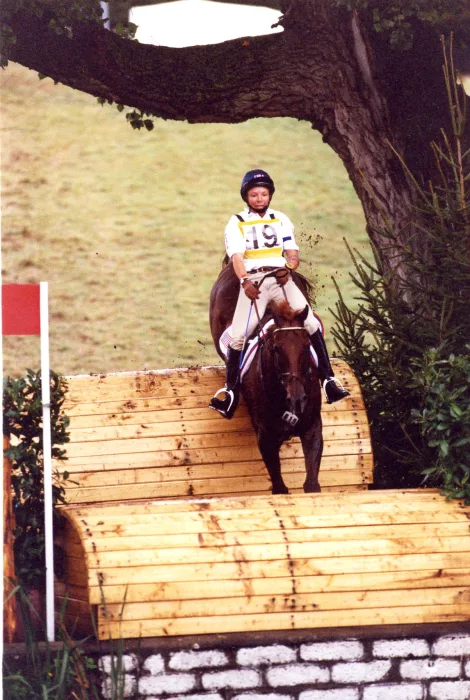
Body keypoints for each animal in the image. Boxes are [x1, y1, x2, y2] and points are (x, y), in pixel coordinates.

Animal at [209, 262, 324, 492]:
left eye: (307, 344)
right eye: (276, 349)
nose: (297, 399)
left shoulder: (313, 429)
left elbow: (311, 484)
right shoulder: (266, 439)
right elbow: (279, 488)